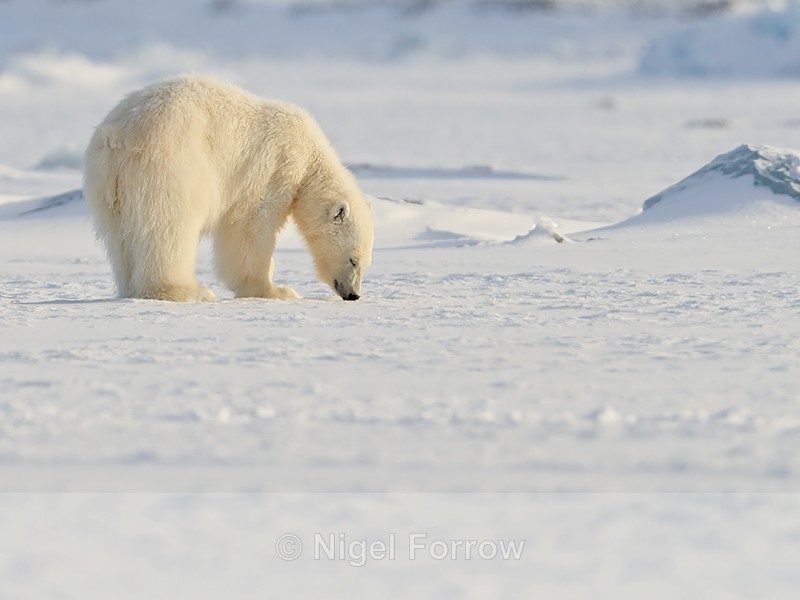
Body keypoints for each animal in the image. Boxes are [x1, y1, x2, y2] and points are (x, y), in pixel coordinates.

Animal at [83, 75, 373, 302]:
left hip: (108, 188)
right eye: (353, 259)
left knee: (121, 238)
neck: (310, 154)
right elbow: (251, 227)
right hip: (169, 164)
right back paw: (186, 290)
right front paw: (275, 290)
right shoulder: (276, 167)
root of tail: (116, 139)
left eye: (367, 262)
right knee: (168, 226)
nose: (354, 294)